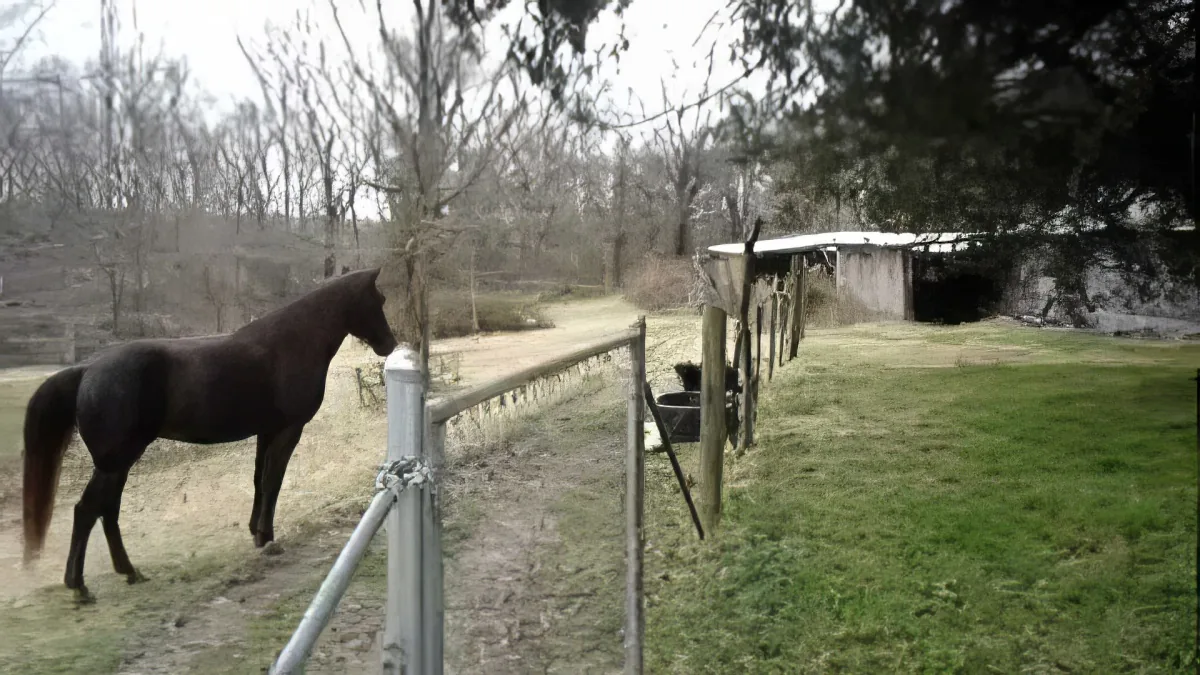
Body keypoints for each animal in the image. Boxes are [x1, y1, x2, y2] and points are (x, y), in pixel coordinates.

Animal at [21, 267, 397, 603]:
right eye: (378, 300)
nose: (390, 345)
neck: (291, 343)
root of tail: (87, 370)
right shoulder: (288, 430)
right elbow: (273, 481)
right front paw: (268, 538)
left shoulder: (266, 431)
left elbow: (260, 480)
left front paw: (256, 533)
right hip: (115, 462)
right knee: (87, 510)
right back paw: (80, 586)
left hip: (119, 464)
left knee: (108, 512)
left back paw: (129, 572)